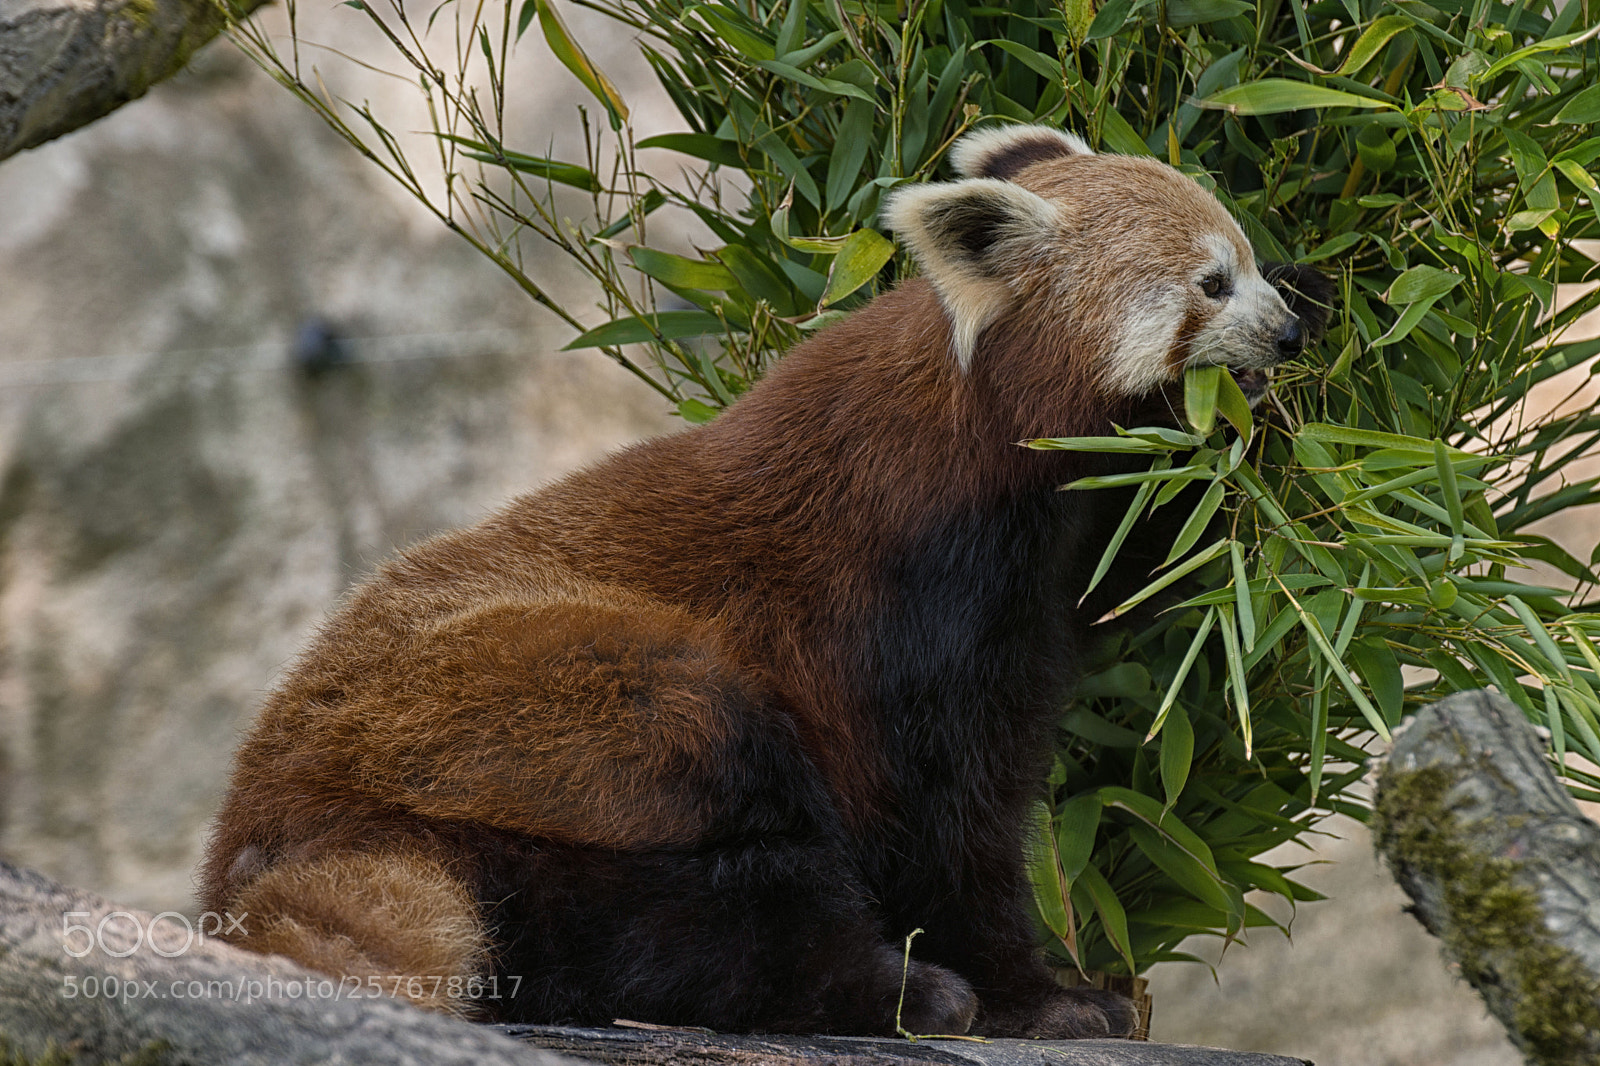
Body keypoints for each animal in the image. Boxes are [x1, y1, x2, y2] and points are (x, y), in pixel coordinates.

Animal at [199, 124, 1331, 1039]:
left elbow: (1150, 576)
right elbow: (950, 818)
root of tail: (265, 829)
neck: (984, 445)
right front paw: (1041, 996)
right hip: (533, 712)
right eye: (1209, 284)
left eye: (1244, 264)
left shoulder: (1057, 553)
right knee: (731, 835)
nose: (1281, 331)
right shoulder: (909, 593)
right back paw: (903, 991)